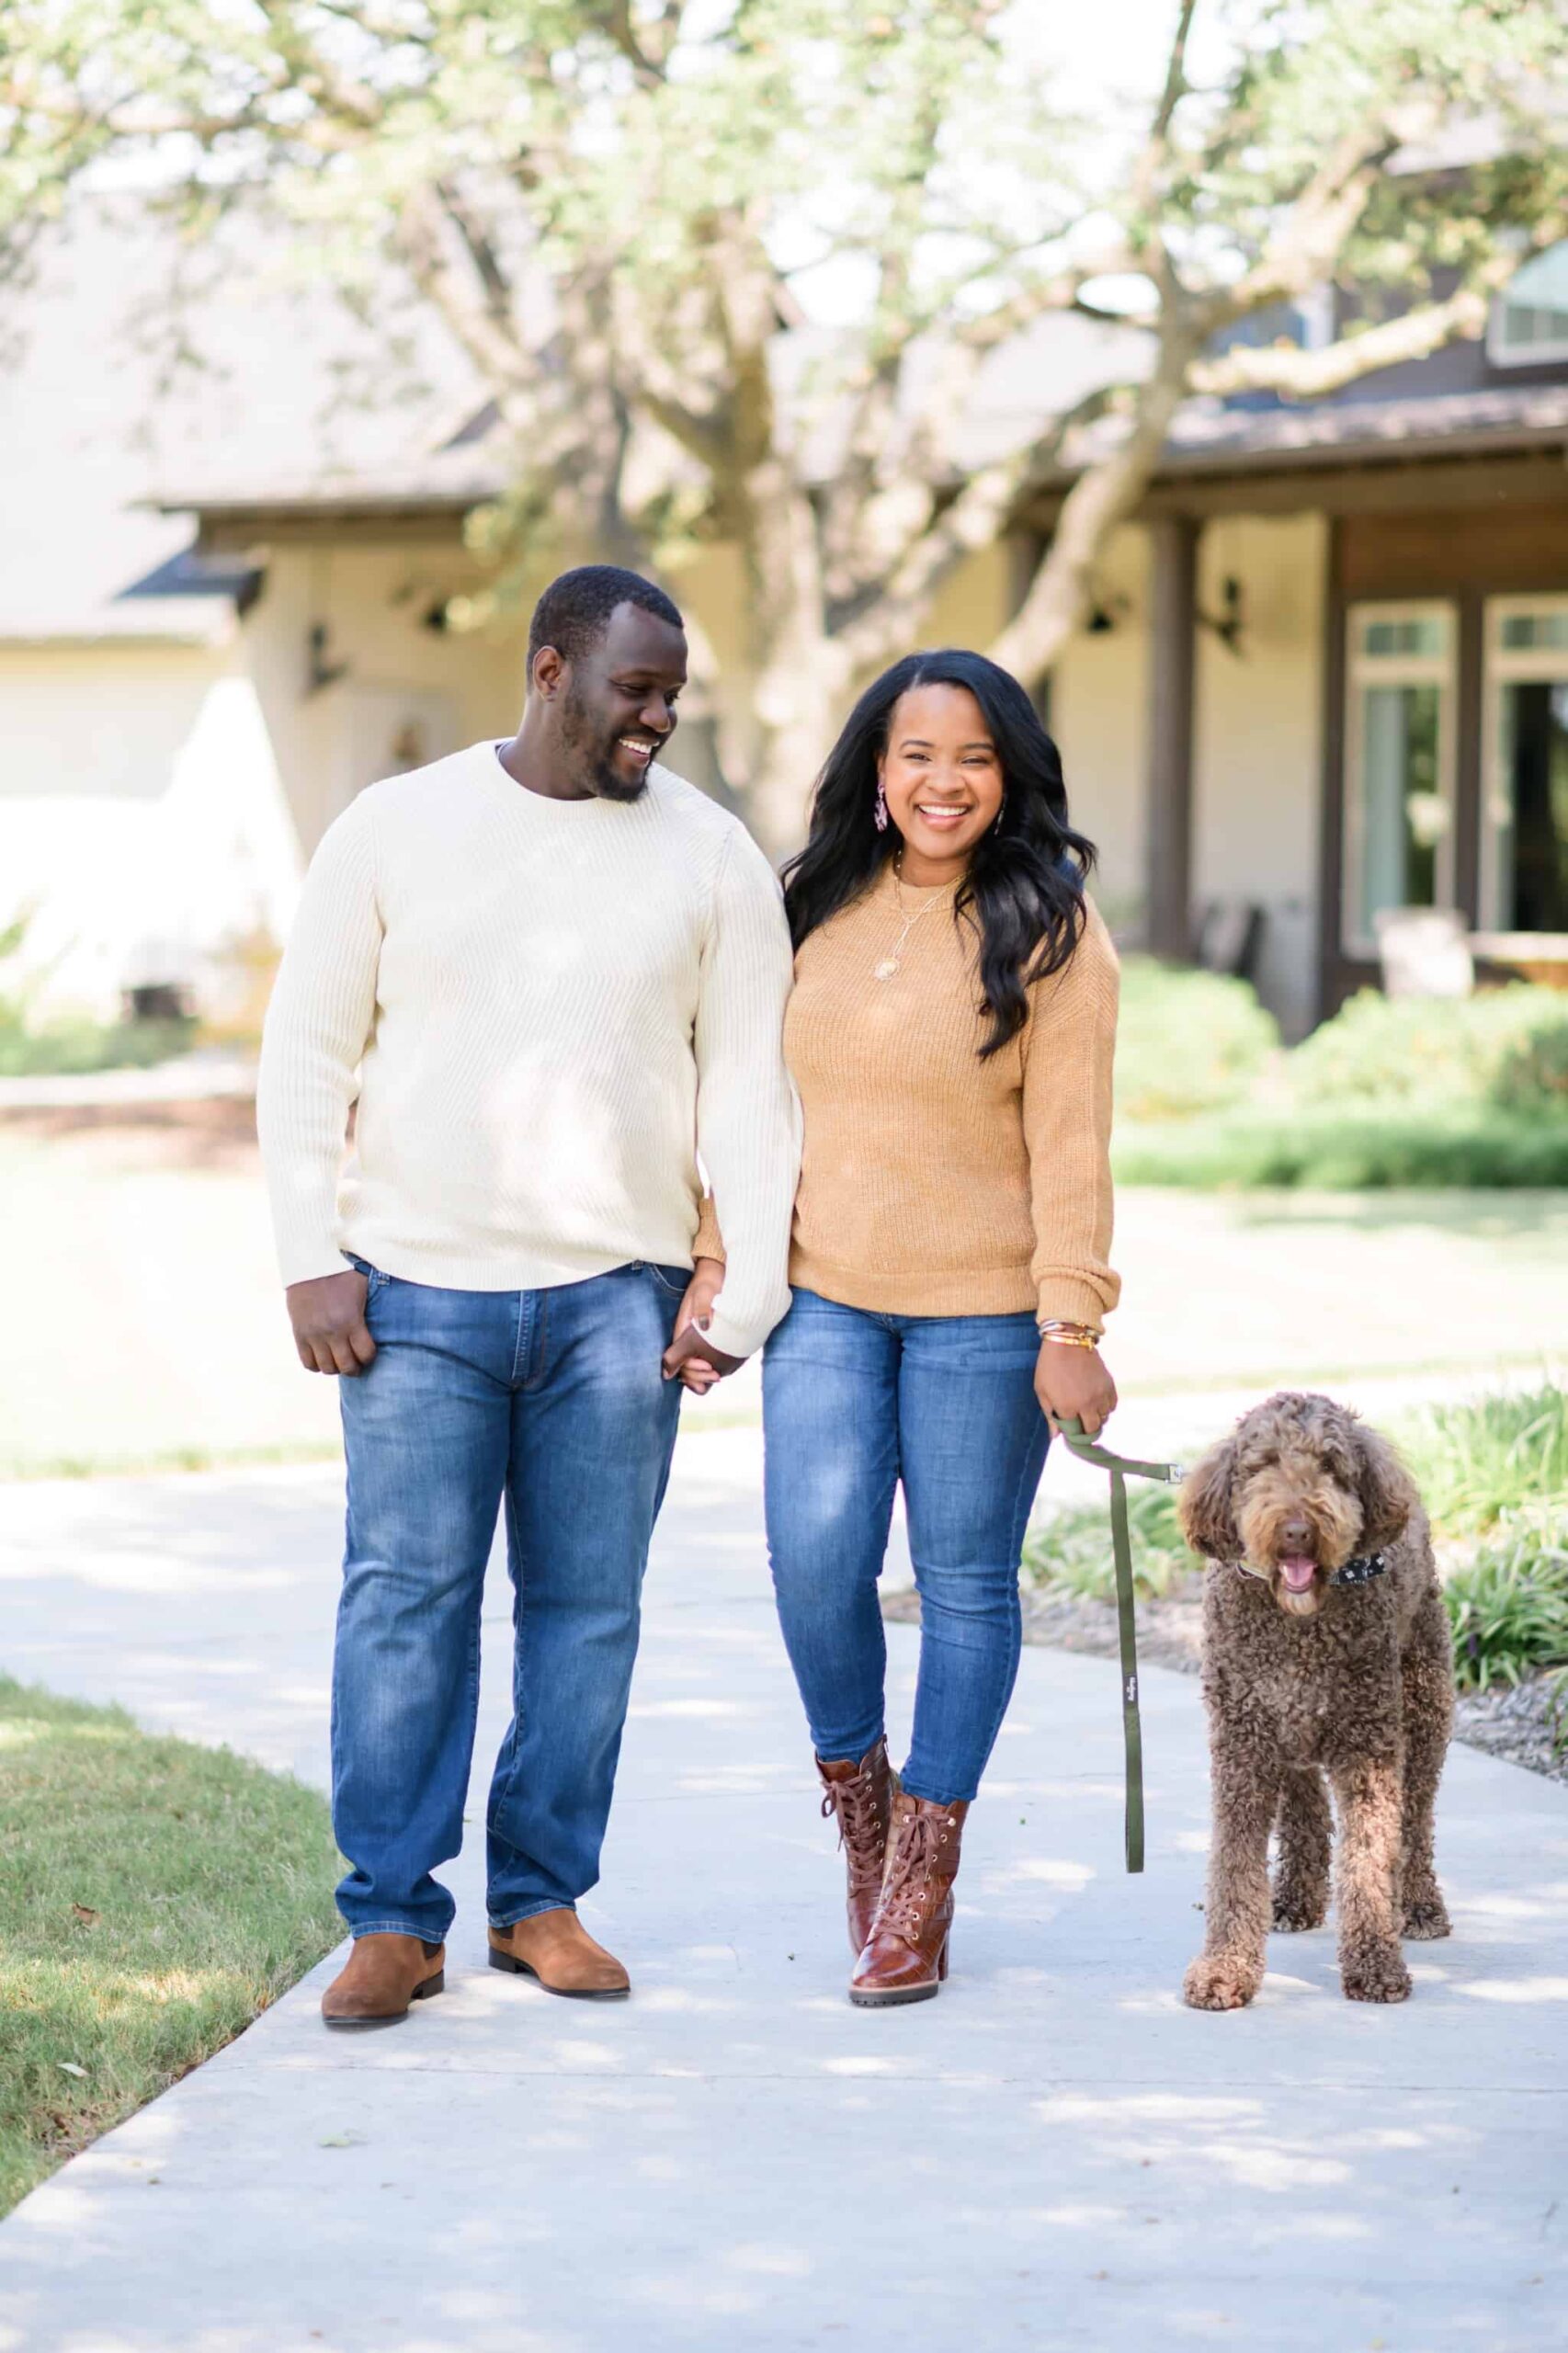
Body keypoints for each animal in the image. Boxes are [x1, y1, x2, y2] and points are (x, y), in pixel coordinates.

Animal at [1176, 1383, 1449, 2014]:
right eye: (1263, 1464)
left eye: (1329, 1464)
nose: (1298, 1529)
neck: (1299, 1622)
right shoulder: (1243, 1749)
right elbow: (1233, 1866)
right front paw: (1224, 1969)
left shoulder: (1369, 1751)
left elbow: (1370, 1859)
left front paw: (1375, 1964)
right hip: (1288, 1738)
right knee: (1305, 1807)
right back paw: (1296, 1898)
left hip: (1424, 1708)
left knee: (1417, 1819)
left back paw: (1421, 1905)